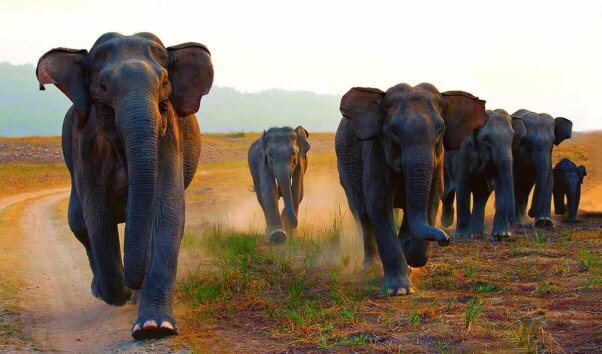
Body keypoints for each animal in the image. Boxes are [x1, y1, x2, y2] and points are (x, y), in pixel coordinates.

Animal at [35, 33, 213, 340]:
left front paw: (153, 328)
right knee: (79, 223)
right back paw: (103, 291)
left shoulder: (168, 137)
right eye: (103, 86)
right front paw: (120, 295)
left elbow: (166, 213)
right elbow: (98, 218)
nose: (133, 285)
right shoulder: (86, 146)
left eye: (164, 82)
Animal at [336, 83, 486, 296]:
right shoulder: (375, 150)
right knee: (362, 214)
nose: (446, 239)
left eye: (441, 129)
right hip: (344, 172)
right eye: (394, 131)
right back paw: (371, 266)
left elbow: (431, 199)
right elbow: (379, 206)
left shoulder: (438, 160)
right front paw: (399, 290)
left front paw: (408, 253)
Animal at [438, 109, 524, 239]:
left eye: (513, 136)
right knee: (448, 191)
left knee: (481, 195)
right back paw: (448, 223)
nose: (512, 220)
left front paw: (502, 235)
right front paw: (462, 236)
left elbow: (500, 184)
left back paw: (478, 233)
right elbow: (463, 185)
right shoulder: (463, 153)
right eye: (486, 139)